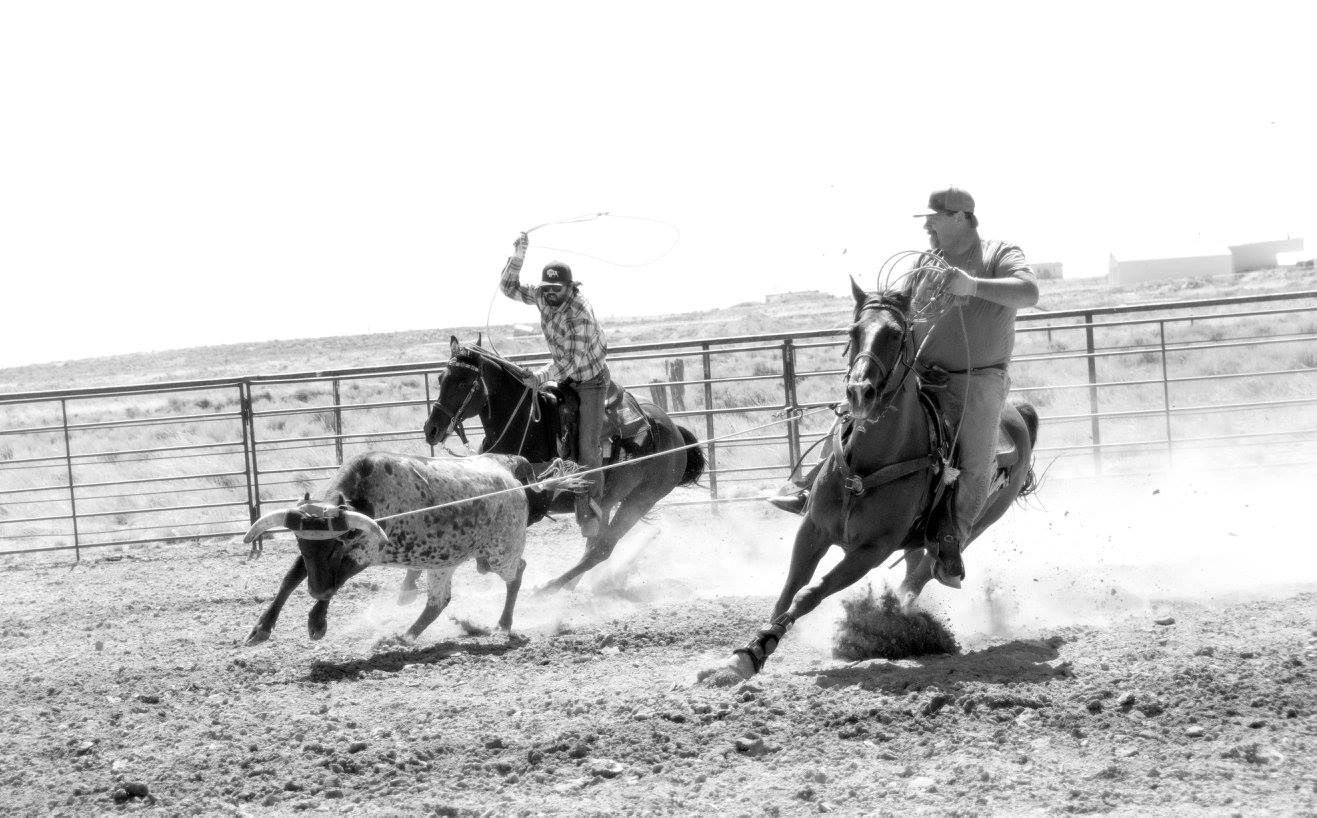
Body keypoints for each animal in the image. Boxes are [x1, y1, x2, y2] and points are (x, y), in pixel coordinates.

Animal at [421, 336, 706, 592]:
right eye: (440, 379)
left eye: (463, 382)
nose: (431, 429)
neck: (525, 427)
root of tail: (674, 431)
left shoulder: (535, 506)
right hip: (608, 500)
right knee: (594, 542)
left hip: (641, 499)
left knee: (602, 549)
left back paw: (549, 588)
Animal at [700, 278, 1039, 684]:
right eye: (853, 331)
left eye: (896, 334)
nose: (860, 391)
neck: (870, 464)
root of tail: (1018, 413)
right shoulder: (813, 529)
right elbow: (788, 590)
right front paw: (747, 656)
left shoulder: (870, 550)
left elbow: (810, 593)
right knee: (912, 569)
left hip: (971, 528)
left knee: (919, 578)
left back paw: (899, 623)